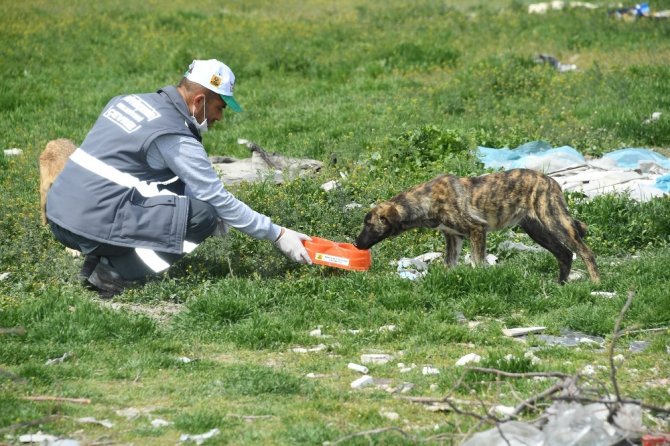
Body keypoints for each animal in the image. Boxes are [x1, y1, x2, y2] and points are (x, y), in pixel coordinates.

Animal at [356, 169, 604, 284]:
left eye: (368, 225)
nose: (356, 244)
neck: (425, 200)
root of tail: (553, 182)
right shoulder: (453, 237)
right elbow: (449, 264)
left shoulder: (477, 230)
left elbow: (477, 263)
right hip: (537, 230)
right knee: (564, 254)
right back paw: (560, 285)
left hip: (555, 221)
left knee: (584, 251)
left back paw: (595, 283)